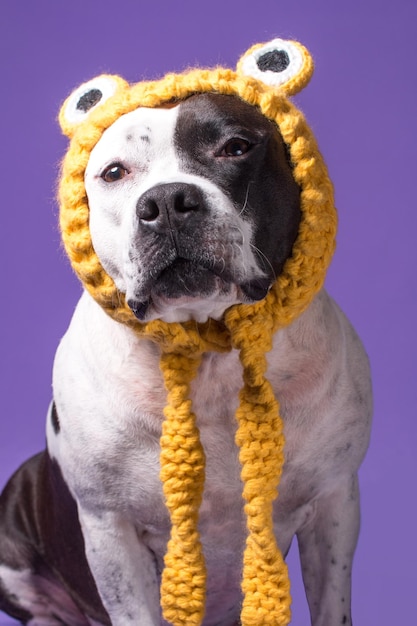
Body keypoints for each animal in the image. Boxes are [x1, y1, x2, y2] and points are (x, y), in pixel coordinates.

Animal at [0, 94, 370, 624]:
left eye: (235, 146)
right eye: (114, 172)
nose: (167, 202)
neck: (210, 360)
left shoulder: (335, 503)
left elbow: (332, 605)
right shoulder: (111, 530)